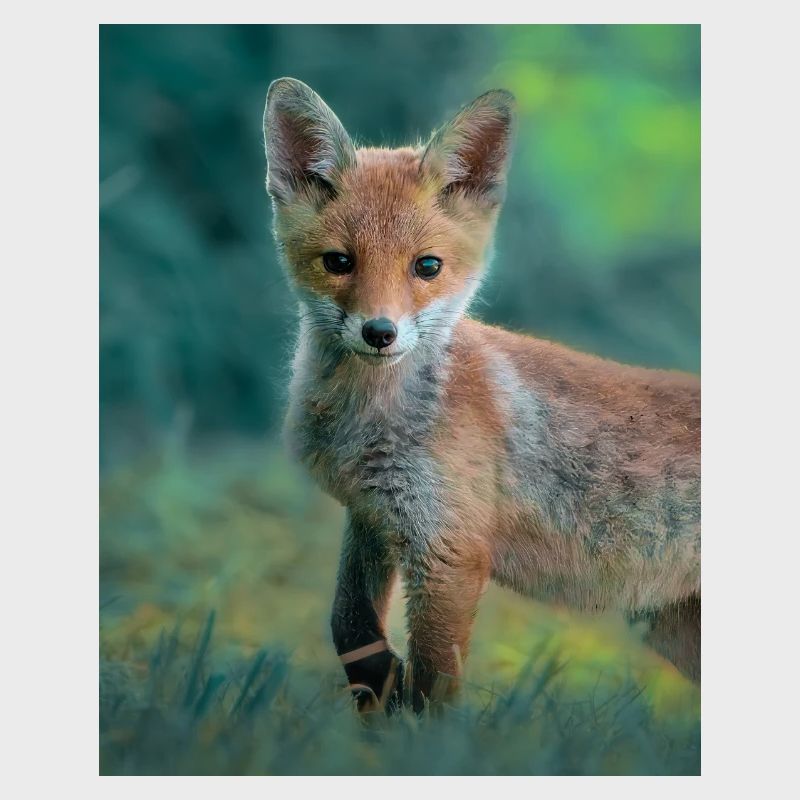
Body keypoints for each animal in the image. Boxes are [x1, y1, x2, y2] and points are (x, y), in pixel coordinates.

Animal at [262, 77, 700, 713]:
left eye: (427, 266)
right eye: (338, 262)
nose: (379, 332)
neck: (368, 425)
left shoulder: (451, 550)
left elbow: (434, 686)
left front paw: (417, 731)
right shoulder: (374, 515)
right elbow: (350, 626)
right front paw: (379, 691)